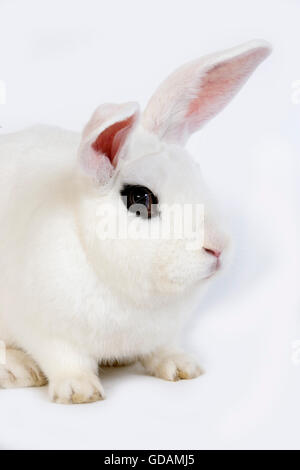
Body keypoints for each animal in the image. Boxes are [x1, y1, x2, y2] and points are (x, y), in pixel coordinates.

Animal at [0, 39, 270, 404]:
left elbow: (162, 349)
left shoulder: (163, 333)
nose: (217, 247)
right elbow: (66, 360)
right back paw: (19, 371)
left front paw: (182, 367)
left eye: (196, 173)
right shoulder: (49, 333)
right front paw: (79, 391)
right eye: (140, 199)